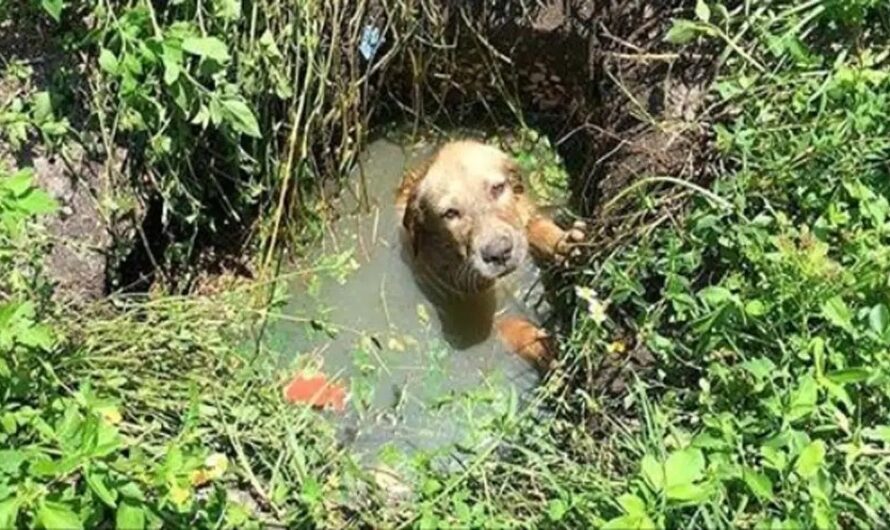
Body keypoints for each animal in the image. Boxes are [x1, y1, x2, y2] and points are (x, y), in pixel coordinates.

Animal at [396, 140, 584, 372]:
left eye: (498, 188)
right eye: (450, 213)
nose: (499, 253)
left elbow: (535, 227)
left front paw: (564, 243)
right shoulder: (472, 306)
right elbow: (507, 324)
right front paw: (540, 345)